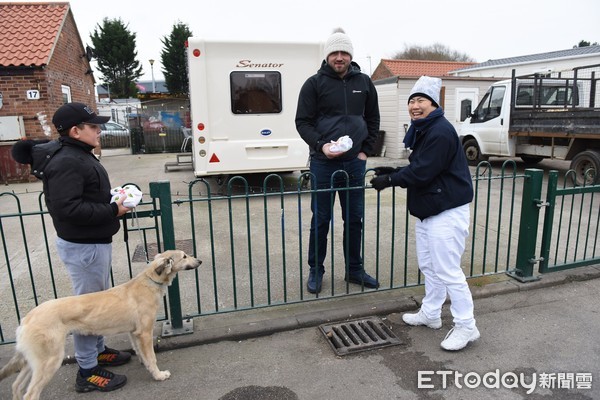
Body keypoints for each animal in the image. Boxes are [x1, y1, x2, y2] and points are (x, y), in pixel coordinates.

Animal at [0, 250, 202, 400]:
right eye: (184, 256)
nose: (199, 261)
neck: (148, 281)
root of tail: (25, 321)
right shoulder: (144, 332)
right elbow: (152, 357)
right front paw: (159, 375)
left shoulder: (134, 332)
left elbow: (141, 353)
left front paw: (145, 365)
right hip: (49, 361)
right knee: (30, 394)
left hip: (33, 361)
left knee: (16, 386)